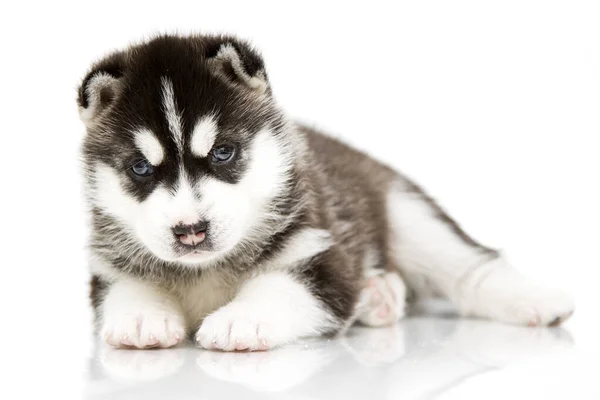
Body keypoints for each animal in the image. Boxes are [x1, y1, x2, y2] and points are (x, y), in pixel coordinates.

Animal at [77, 34, 576, 350]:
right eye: (141, 168)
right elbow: (128, 287)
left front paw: (241, 318)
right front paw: (141, 315)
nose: (190, 231)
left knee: (470, 269)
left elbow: (283, 287)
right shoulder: (109, 264)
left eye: (223, 152)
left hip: (405, 210)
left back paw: (535, 301)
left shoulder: (321, 252)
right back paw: (380, 296)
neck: (207, 271)